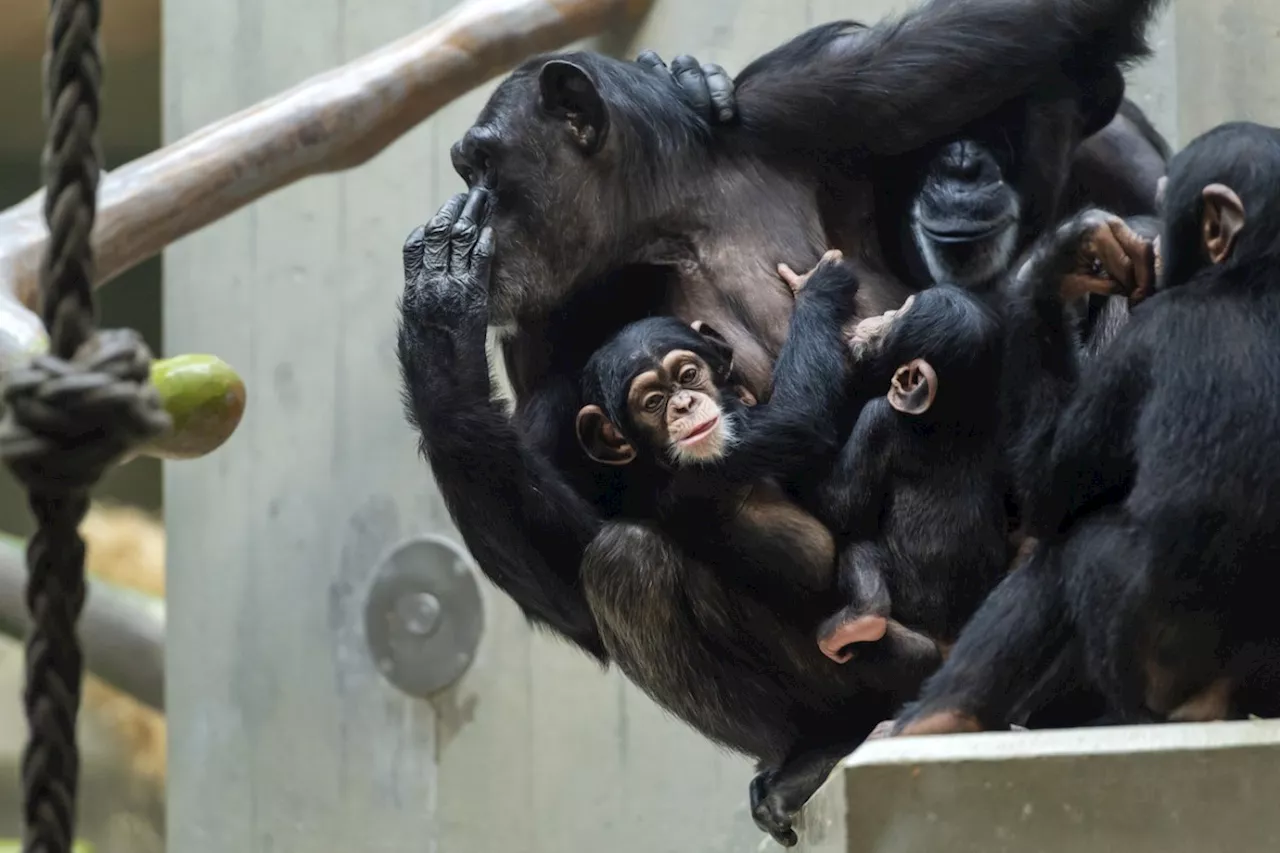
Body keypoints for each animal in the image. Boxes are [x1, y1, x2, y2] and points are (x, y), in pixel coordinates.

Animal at [896, 121, 1280, 737]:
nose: (1154, 245)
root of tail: (1213, 705)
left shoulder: (1140, 349)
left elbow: (1051, 487)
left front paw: (1058, 261)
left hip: (1148, 663)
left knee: (1065, 551)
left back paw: (936, 717)